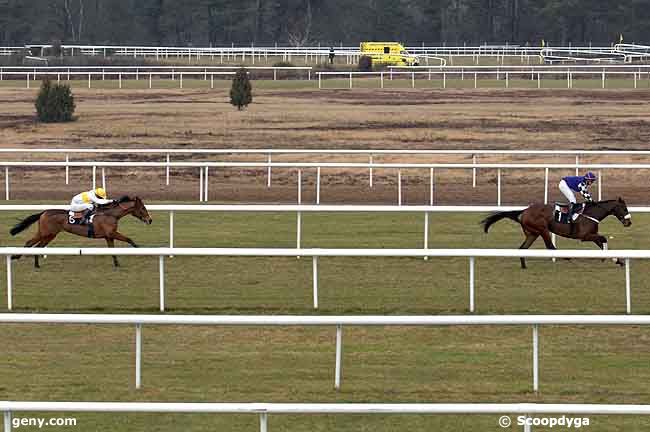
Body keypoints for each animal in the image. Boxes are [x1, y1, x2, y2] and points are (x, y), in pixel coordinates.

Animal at [9, 195, 152, 266]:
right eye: (143, 208)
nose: (150, 220)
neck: (110, 214)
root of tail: (43, 212)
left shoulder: (108, 236)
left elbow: (112, 250)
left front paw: (117, 264)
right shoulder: (111, 233)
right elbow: (129, 239)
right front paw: (140, 250)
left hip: (49, 234)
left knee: (36, 245)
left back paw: (33, 263)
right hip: (46, 232)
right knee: (32, 243)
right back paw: (20, 258)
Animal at [480, 197, 628, 268]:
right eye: (624, 208)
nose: (629, 222)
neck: (591, 213)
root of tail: (524, 211)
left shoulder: (591, 235)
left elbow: (602, 242)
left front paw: (618, 261)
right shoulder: (584, 236)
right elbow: (603, 239)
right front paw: (610, 259)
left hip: (533, 233)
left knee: (522, 248)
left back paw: (524, 266)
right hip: (543, 229)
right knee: (550, 246)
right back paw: (566, 257)